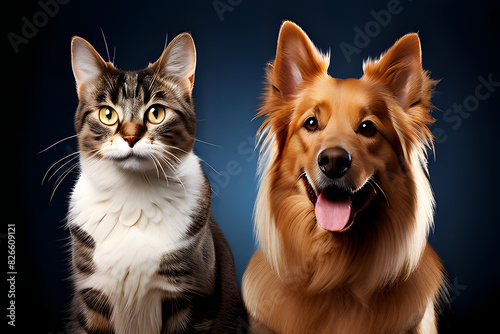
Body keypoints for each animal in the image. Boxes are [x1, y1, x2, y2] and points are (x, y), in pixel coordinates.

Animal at [68, 32, 244, 332]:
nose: (130, 137)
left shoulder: (192, 295)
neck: (132, 197)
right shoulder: (92, 295)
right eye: (107, 114)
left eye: (156, 113)